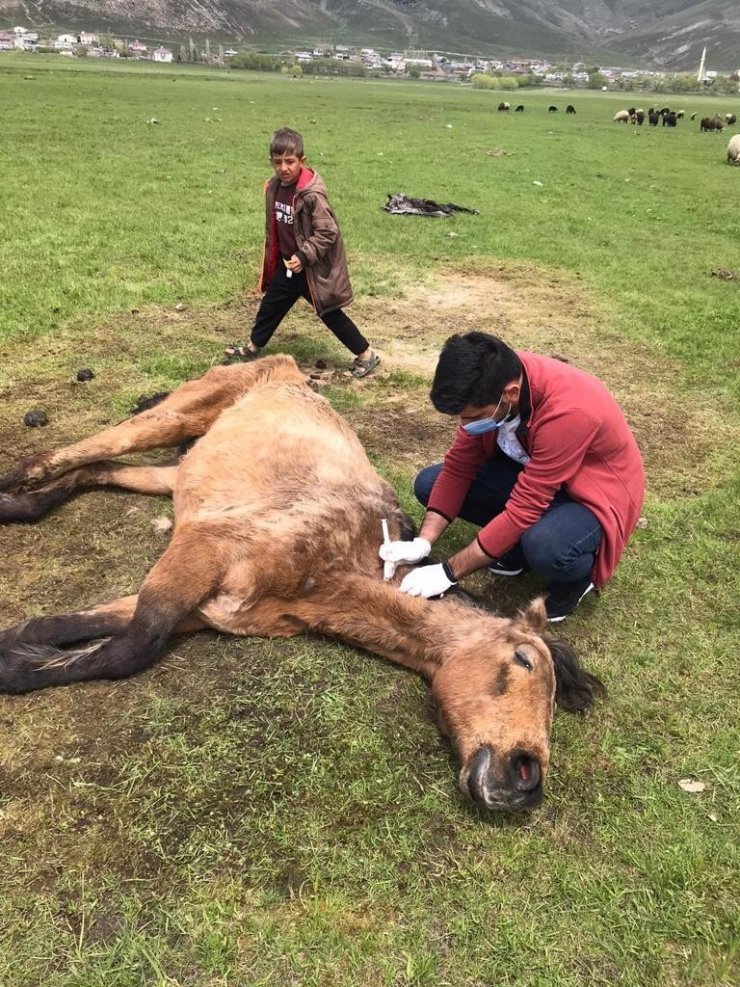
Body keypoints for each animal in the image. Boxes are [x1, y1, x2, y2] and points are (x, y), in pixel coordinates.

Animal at [0, 356, 600, 812]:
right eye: (523, 661)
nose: (526, 778)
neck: (327, 566)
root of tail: (287, 366)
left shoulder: (199, 605)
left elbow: (76, 629)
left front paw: (18, 652)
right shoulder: (201, 550)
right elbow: (130, 648)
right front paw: (16, 669)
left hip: (175, 474)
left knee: (95, 472)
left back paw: (21, 507)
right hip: (171, 419)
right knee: (71, 453)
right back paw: (13, 484)